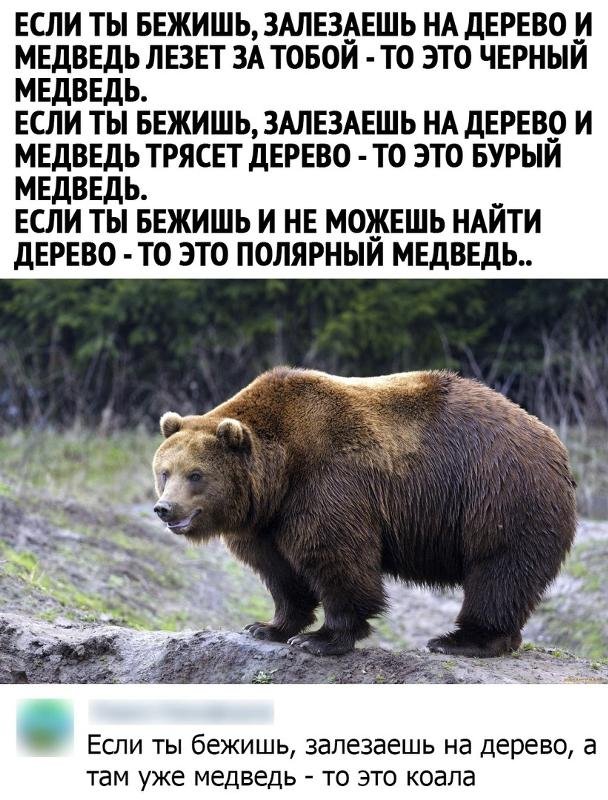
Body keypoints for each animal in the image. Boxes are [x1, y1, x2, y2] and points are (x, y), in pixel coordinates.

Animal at [152, 367, 577, 657]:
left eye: (196, 474)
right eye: (164, 472)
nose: (164, 508)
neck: (279, 473)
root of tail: (550, 438)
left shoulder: (328, 484)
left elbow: (336, 557)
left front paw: (319, 639)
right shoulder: (267, 521)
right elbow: (280, 571)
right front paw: (267, 626)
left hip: (499, 493)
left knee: (499, 568)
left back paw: (460, 640)